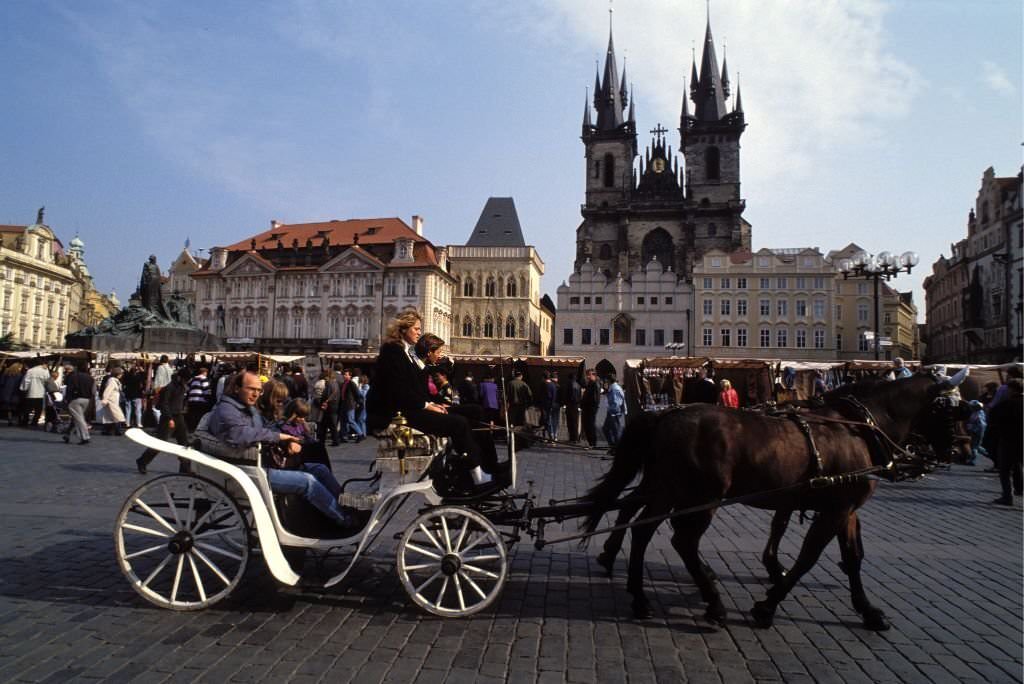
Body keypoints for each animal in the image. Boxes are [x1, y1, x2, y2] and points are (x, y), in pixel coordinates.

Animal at [585, 370, 966, 634]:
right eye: (951, 410)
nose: (960, 451)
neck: (859, 427)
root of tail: (663, 414)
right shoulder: (835, 509)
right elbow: (807, 557)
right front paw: (767, 605)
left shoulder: (845, 508)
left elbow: (852, 557)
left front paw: (869, 611)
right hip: (701, 496)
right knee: (681, 540)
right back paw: (713, 604)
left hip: (669, 489)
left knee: (641, 526)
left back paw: (639, 596)